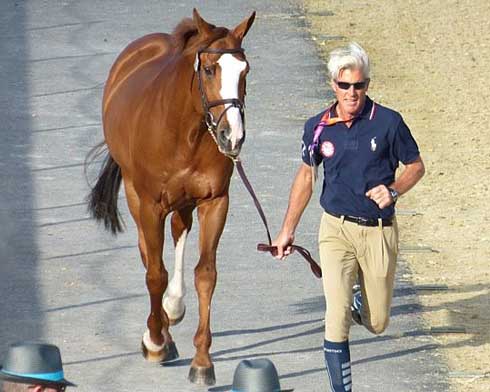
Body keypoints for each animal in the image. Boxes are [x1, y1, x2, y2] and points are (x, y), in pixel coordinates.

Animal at [87, 8, 255, 386]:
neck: (184, 132)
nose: (232, 136)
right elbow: (154, 273)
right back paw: (161, 331)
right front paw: (154, 341)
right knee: (148, 253)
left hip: (183, 203)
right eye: (209, 69)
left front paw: (203, 362)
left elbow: (205, 275)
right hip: (136, 197)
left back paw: (173, 308)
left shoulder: (215, 202)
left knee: (178, 233)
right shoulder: (150, 205)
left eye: (245, 70)